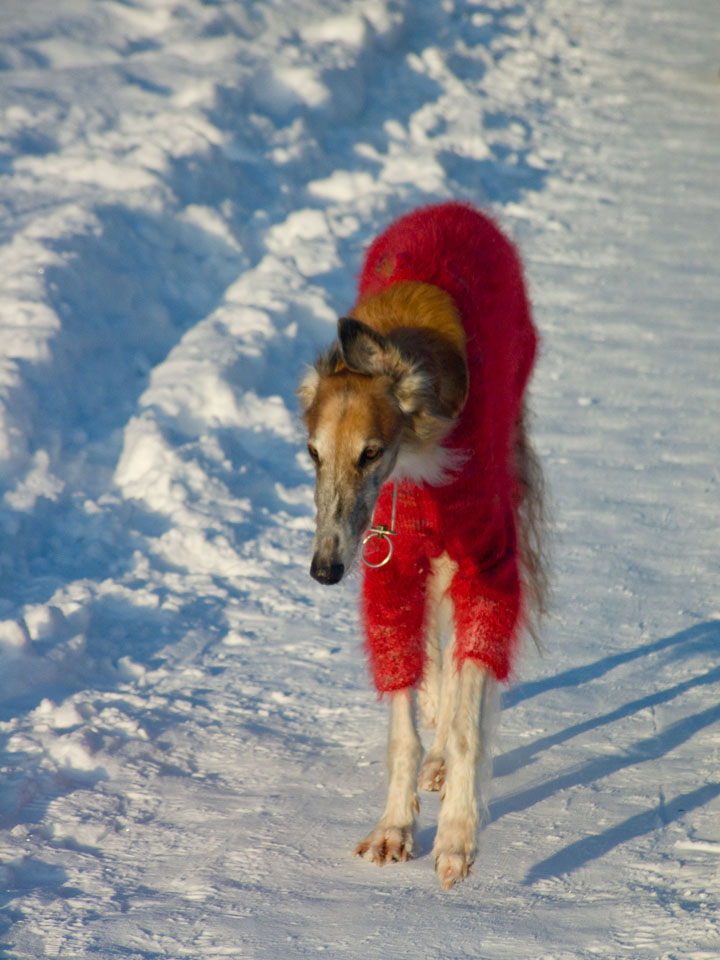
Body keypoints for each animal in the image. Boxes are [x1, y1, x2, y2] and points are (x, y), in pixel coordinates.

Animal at [296, 204, 548, 892]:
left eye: (371, 452)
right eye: (312, 453)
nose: (325, 569)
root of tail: (454, 207)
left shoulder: (487, 559)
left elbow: (467, 721)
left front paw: (457, 837)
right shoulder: (391, 565)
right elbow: (403, 714)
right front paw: (393, 829)